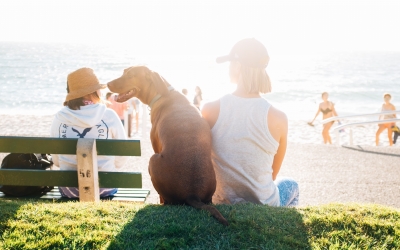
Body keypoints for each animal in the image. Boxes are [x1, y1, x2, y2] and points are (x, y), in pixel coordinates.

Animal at [108, 65, 228, 226]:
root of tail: (192, 194)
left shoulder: (156, 146)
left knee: (165, 199)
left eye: (131, 75)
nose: (107, 84)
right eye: (123, 72)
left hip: (153, 160)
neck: (162, 93)